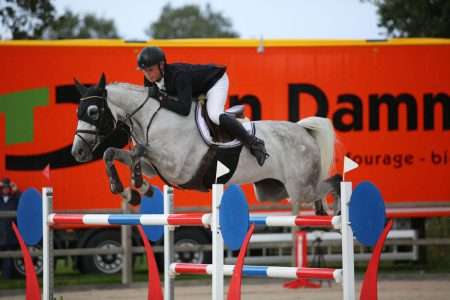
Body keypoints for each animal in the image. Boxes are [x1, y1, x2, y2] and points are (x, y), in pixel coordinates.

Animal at [71, 73, 342, 213]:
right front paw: (131, 189)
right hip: (272, 190)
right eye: (78, 112)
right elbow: (113, 153)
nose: (78, 152)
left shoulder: (177, 167)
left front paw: (136, 185)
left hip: (300, 188)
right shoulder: (155, 166)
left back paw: (336, 214)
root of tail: (303, 130)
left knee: (333, 182)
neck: (152, 117)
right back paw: (322, 212)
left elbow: (140, 150)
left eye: (93, 112)